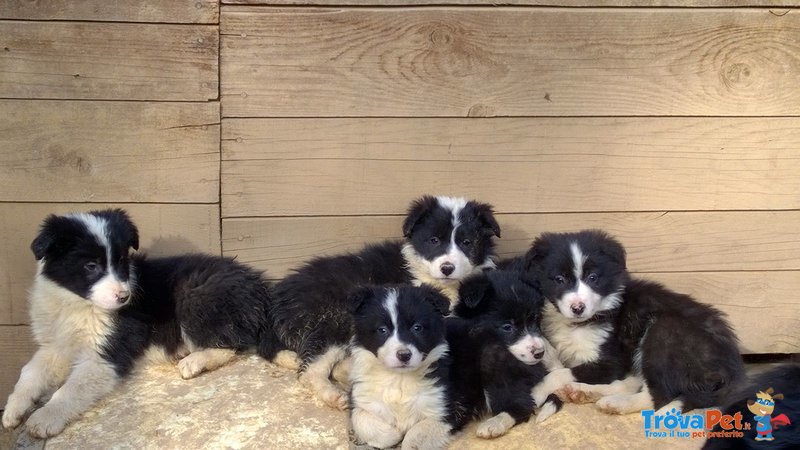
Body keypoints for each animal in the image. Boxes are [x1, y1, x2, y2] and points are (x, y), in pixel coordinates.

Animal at [2, 209, 278, 438]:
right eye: (91, 266)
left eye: (122, 261)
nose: (124, 297)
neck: (77, 304)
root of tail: (259, 287)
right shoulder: (55, 345)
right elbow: (30, 371)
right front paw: (13, 410)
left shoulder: (106, 354)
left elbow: (70, 389)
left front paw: (44, 419)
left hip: (194, 294)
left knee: (233, 343)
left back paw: (194, 361)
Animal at [270, 195, 500, 410]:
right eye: (434, 240)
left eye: (467, 243)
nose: (447, 268)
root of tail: (279, 297)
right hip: (335, 318)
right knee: (311, 370)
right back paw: (334, 395)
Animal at [346, 284, 478, 450]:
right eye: (382, 330)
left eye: (417, 327)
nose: (404, 355)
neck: (399, 379)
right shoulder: (360, 397)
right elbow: (361, 419)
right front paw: (394, 432)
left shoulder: (449, 408)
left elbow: (415, 434)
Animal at [520, 232, 748, 414]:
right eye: (559, 279)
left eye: (593, 278)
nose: (578, 308)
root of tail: (732, 371)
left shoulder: (610, 361)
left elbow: (559, 373)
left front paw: (536, 393)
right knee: (633, 383)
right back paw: (586, 393)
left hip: (664, 333)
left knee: (657, 396)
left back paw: (616, 403)